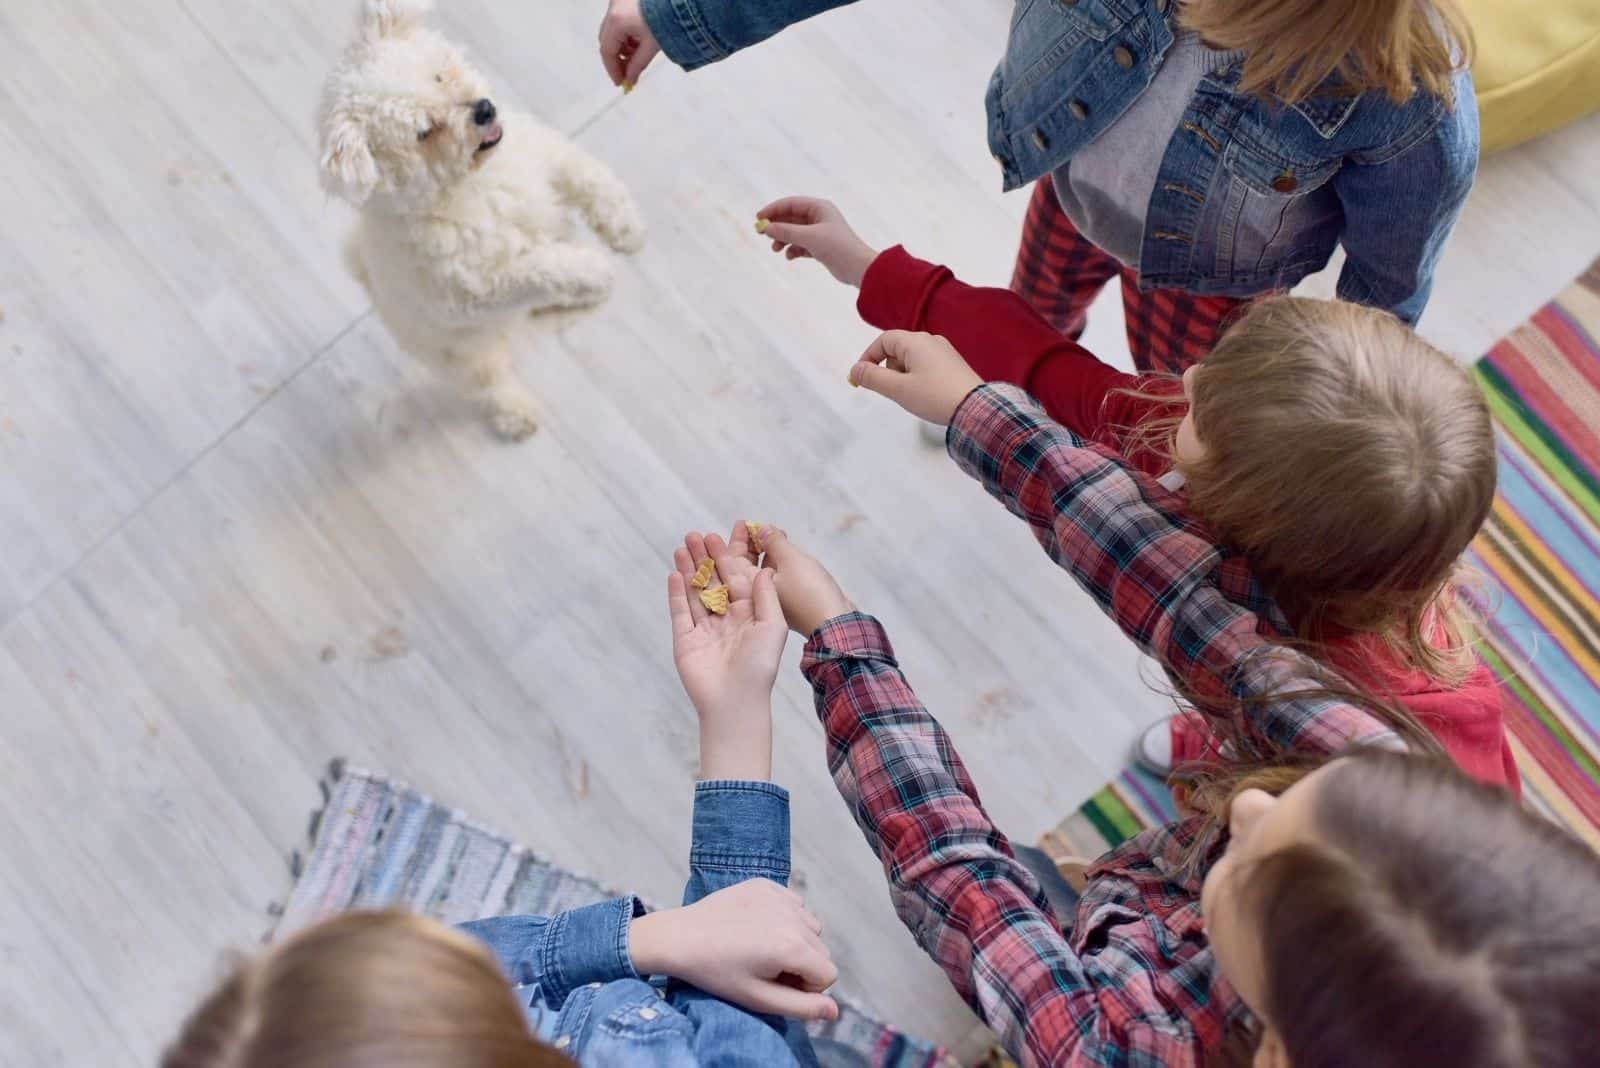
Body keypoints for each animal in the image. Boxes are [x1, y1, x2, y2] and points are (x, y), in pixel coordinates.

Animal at [318, 0, 643, 438]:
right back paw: (515, 414)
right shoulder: (476, 285)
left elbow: (589, 180)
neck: (472, 183)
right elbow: (541, 268)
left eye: (439, 74)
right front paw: (589, 267)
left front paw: (625, 228)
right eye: (425, 131)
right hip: (461, 356)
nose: (484, 109)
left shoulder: (546, 156)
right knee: (488, 385)